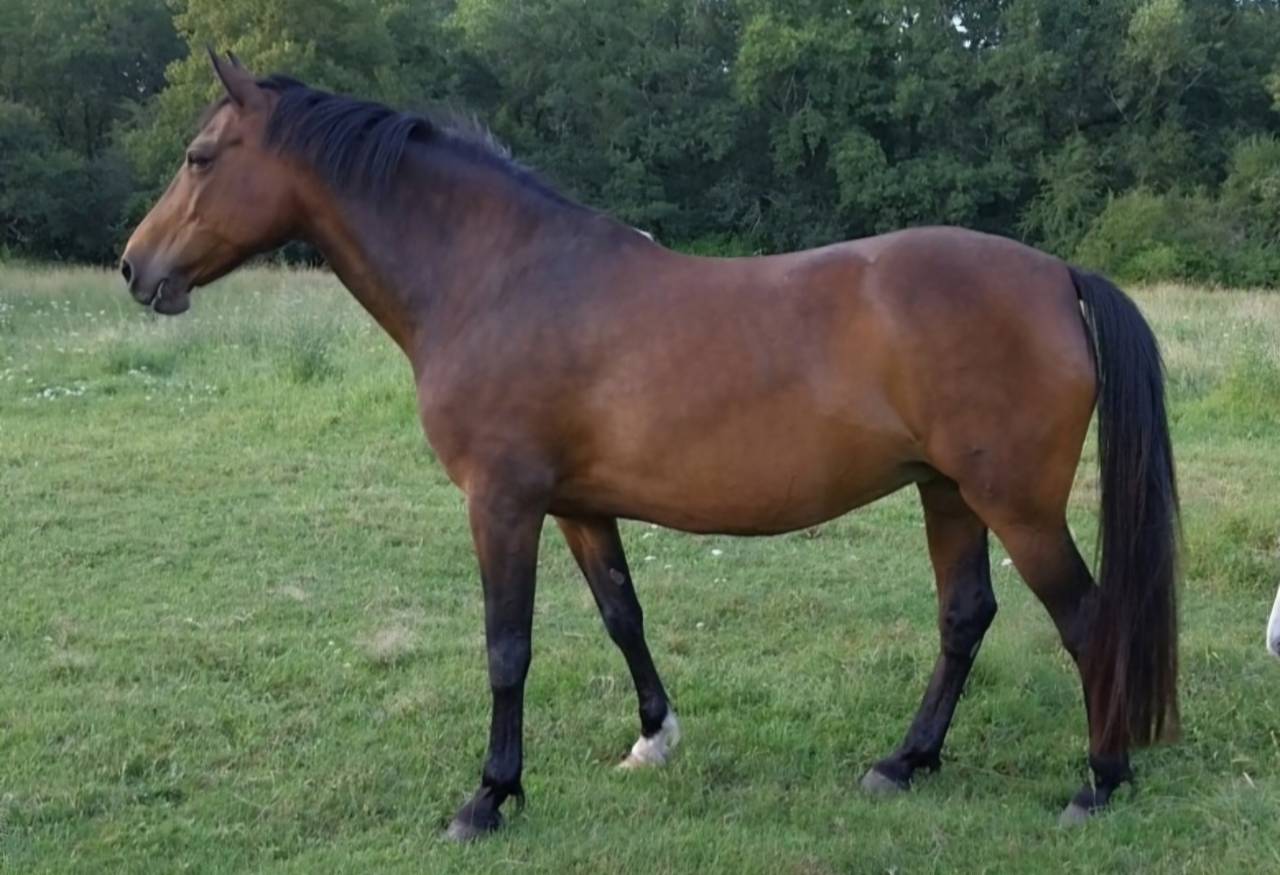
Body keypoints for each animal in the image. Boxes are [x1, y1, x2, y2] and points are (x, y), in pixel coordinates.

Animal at [121, 52, 1180, 839]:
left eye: (201, 156)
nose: (136, 268)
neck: (497, 277)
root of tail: (1055, 275)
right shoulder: (580, 505)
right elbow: (620, 615)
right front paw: (653, 736)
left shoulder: (501, 501)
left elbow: (507, 645)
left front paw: (489, 795)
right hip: (947, 492)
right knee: (965, 617)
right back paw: (904, 761)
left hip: (1015, 503)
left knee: (1087, 619)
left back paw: (1099, 780)